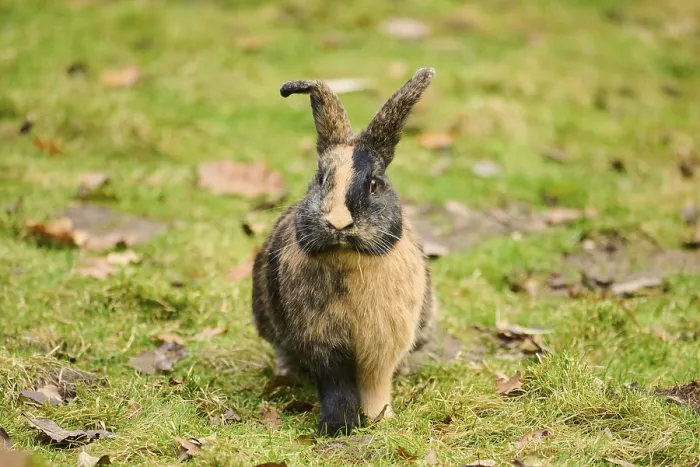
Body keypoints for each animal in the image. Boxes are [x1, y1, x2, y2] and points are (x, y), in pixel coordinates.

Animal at [252, 67, 437, 436]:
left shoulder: (383, 344)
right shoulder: (322, 341)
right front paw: (338, 426)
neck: (347, 258)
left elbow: (376, 382)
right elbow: (336, 383)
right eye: (320, 179)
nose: (338, 223)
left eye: (374, 184)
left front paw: (381, 418)